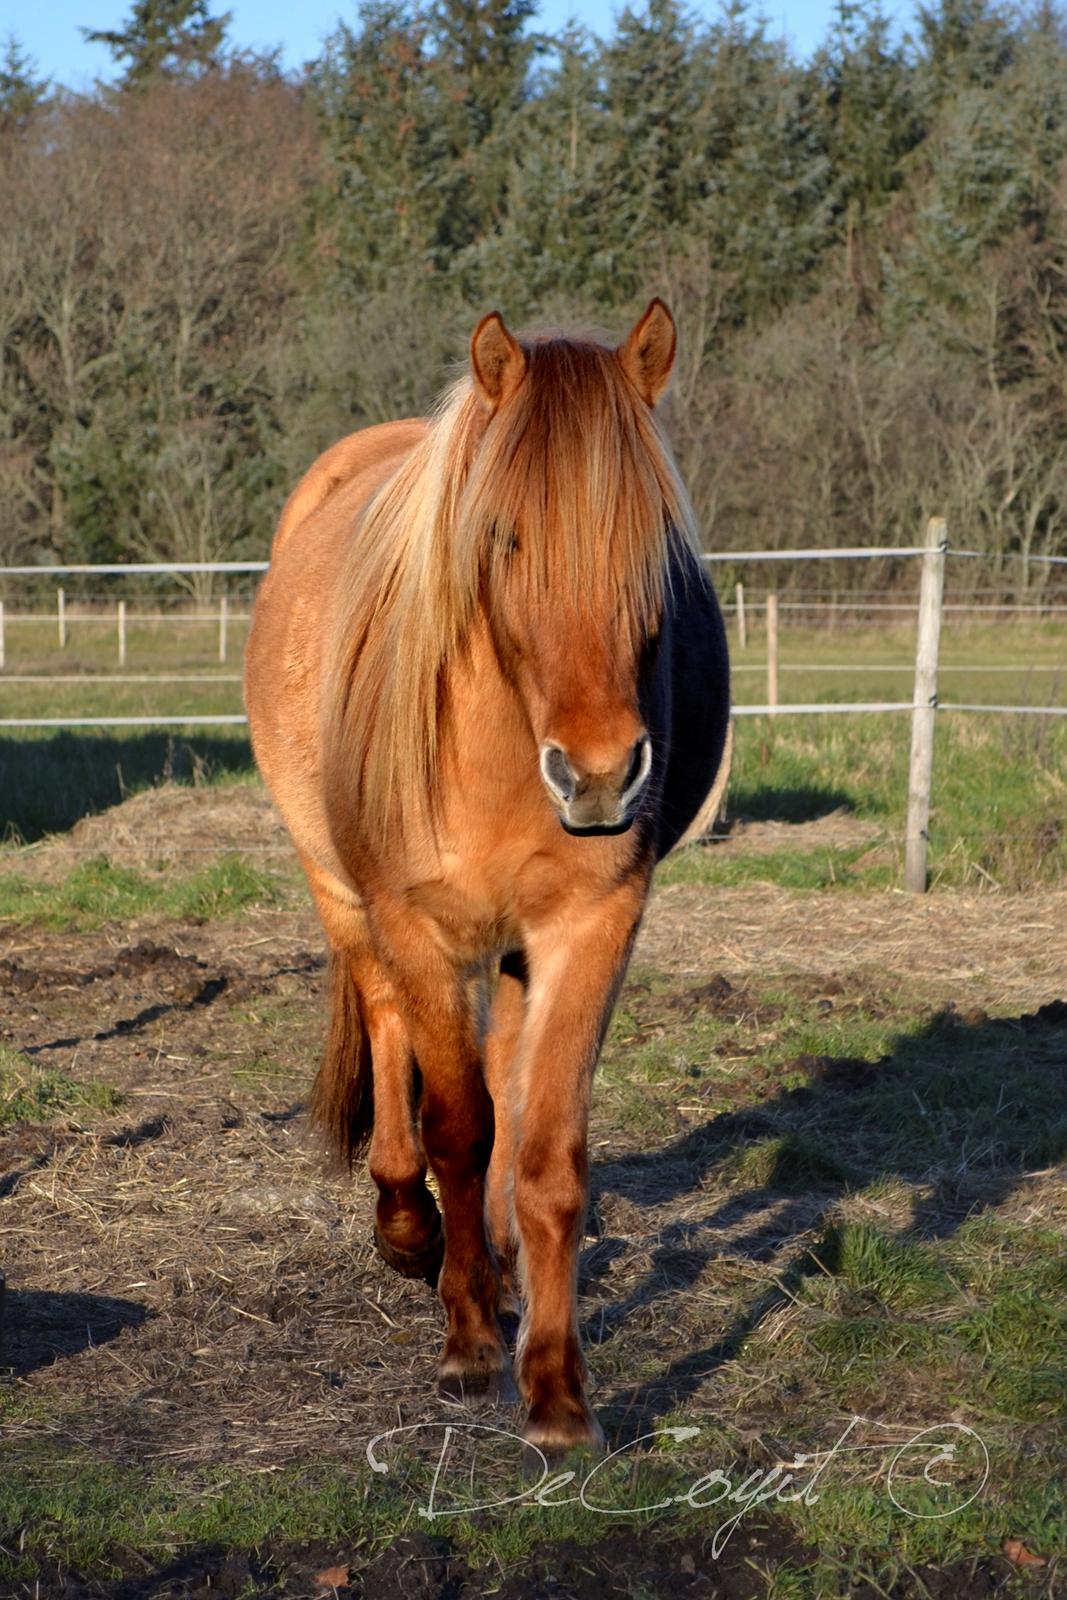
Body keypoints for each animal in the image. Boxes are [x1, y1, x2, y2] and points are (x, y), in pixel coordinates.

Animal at [244, 300, 729, 1452]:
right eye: (504, 536)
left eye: (654, 545)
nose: (598, 774)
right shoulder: (419, 926)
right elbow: (457, 1134)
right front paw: (464, 1341)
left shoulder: (592, 923)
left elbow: (543, 1152)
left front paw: (553, 1387)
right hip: (345, 894)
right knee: (387, 1030)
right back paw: (406, 1229)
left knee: (503, 1074)